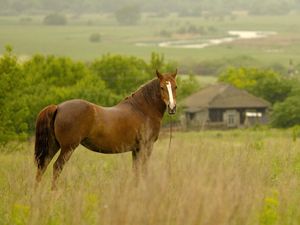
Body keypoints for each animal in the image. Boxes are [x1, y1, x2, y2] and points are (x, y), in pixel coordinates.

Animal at [34, 69, 177, 189]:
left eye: (175, 87)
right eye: (162, 87)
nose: (172, 107)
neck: (142, 109)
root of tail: (58, 107)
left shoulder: (136, 149)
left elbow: (136, 170)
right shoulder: (146, 146)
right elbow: (143, 170)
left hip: (54, 145)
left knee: (43, 166)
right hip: (68, 148)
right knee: (56, 167)